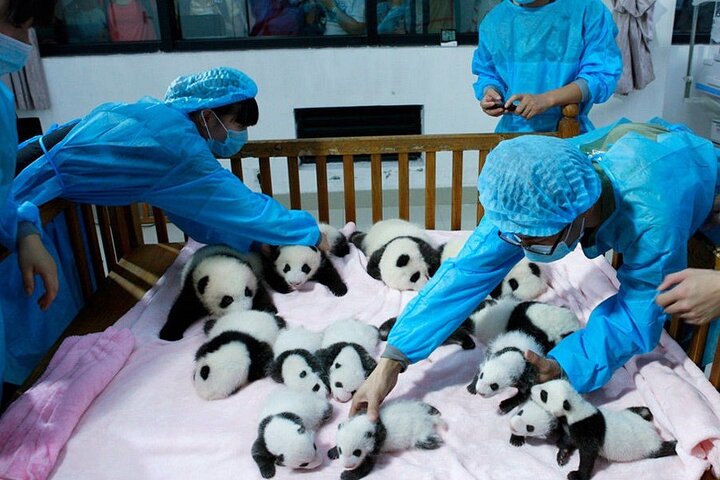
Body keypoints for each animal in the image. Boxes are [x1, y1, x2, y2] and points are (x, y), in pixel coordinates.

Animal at [531, 379, 677, 480]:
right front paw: (562, 454)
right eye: (546, 384)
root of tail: (651, 429)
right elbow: (569, 439)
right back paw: (646, 412)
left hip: (650, 446)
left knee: (663, 449)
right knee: (641, 410)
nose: (532, 389)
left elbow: (589, 454)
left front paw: (576, 475)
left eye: (544, 395)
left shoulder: (587, 428)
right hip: (633, 413)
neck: (576, 410)